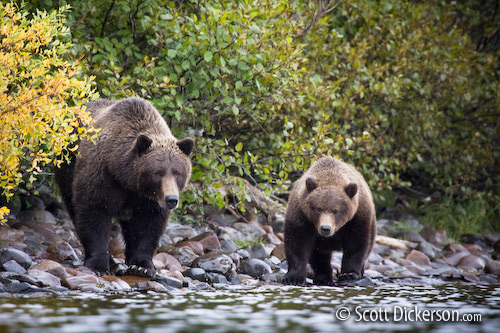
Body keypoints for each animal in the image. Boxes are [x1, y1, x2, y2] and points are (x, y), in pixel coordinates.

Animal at [54, 97, 194, 276]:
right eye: (158, 172)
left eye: (177, 173)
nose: (171, 199)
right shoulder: (102, 178)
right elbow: (93, 213)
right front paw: (98, 264)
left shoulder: (148, 200)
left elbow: (149, 225)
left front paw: (141, 265)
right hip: (67, 164)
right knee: (72, 205)